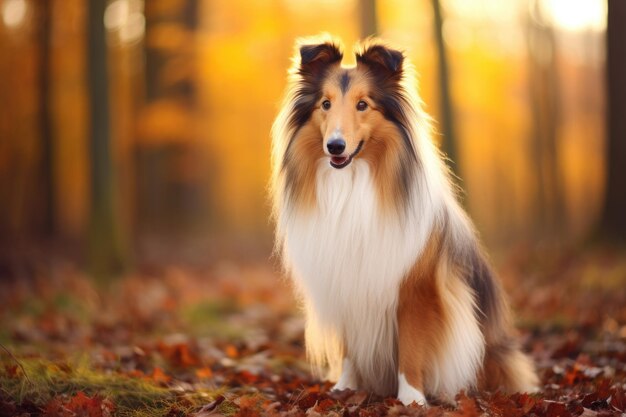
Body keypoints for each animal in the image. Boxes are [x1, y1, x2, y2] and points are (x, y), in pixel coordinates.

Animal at [268, 37, 536, 404]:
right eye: (325, 104)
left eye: (362, 105)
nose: (335, 146)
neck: (353, 183)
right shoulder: (345, 281)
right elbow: (350, 349)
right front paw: (346, 388)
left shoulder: (416, 288)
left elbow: (412, 346)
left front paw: (411, 398)